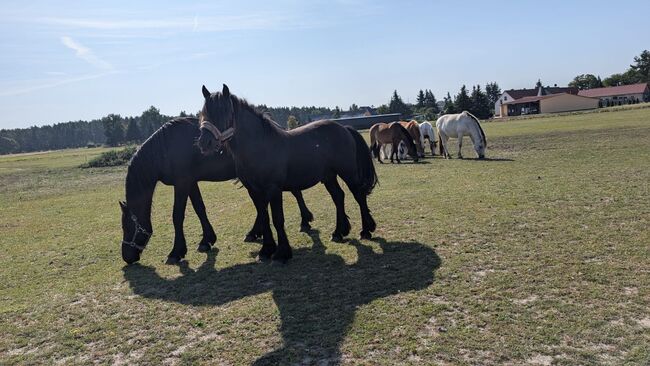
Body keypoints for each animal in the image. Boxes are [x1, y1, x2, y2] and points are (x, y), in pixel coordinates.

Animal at [122, 116, 316, 264]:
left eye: (126, 226)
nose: (126, 257)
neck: (165, 149)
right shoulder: (190, 183)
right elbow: (200, 208)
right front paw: (207, 240)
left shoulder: (182, 183)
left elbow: (177, 216)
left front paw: (176, 252)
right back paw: (255, 232)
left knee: (294, 192)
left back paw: (304, 221)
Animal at [199, 85, 380, 264]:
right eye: (204, 112)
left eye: (225, 111)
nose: (204, 142)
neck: (261, 147)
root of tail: (344, 128)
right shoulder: (254, 191)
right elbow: (264, 217)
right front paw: (266, 250)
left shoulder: (273, 189)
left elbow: (277, 219)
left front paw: (282, 253)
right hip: (329, 176)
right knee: (338, 196)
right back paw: (339, 232)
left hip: (348, 172)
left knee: (358, 195)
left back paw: (366, 230)